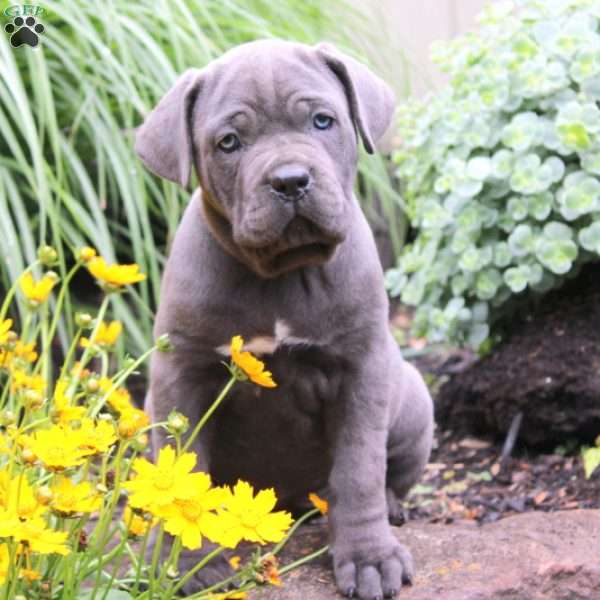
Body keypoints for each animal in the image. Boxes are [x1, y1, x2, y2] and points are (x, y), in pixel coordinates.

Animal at [135, 39, 436, 596]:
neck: (279, 273)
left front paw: (368, 556)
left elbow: (359, 468)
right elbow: (184, 472)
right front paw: (184, 565)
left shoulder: (361, 369)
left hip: (412, 398)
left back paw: (386, 510)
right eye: (229, 142)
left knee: (383, 477)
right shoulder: (180, 371)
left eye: (322, 121)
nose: (290, 180)